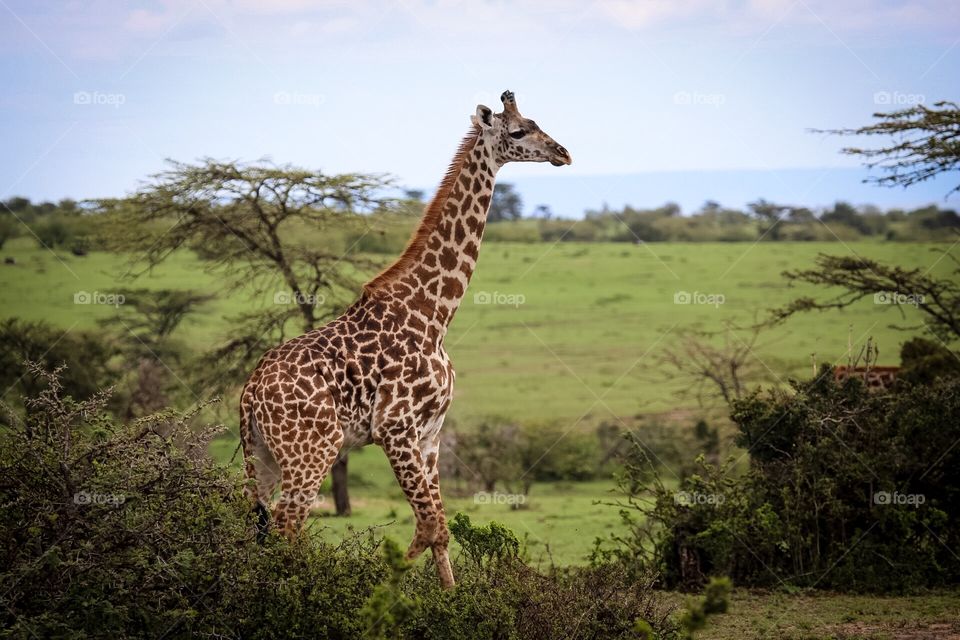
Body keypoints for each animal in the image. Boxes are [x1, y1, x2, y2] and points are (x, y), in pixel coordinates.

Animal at [239, 90, 571, 588]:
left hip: (262, 457)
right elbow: (428, 525)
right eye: (517, 131)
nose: (563, 153)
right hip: (312, 451)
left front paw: (450, 596)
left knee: (260, 527)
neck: (435, 316)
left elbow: (441, 528)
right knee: (286, 527)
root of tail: (248, 395)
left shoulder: (430, 434)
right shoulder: (394, 428)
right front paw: (385, 586)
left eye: (537, 121)